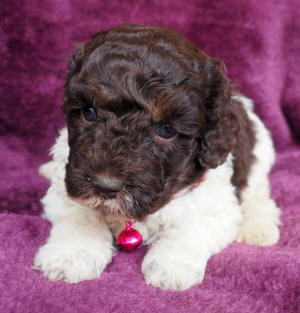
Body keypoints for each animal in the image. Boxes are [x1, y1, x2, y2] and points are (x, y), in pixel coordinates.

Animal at [33, 24, 282, 290]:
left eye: (166, 131)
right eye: (89, 113)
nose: (105, 186)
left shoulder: (216, 206)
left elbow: (192, 227)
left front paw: (172, 265)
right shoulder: (65, 190)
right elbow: (80, 215)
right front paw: (71, 254)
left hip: (260, 158)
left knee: (258, 196)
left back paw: (258, 227)